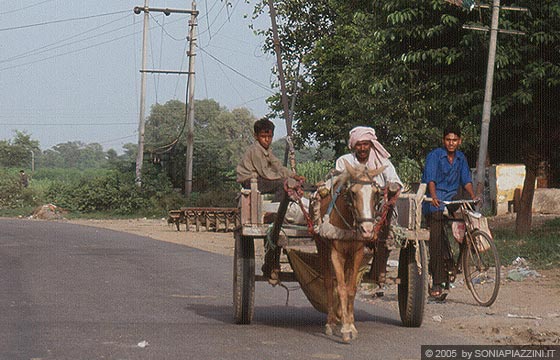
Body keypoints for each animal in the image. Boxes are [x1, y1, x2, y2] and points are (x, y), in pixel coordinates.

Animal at [312, 160, 388, 344]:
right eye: (353, 193)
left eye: (376, 194)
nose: (367, 230)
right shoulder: (335, 254)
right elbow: (340, 288)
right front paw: (345, 329)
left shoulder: (358, 253)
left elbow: (351, 288)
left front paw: (351, 325)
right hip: (322, 247)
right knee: (328, 282)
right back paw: (331, 322)